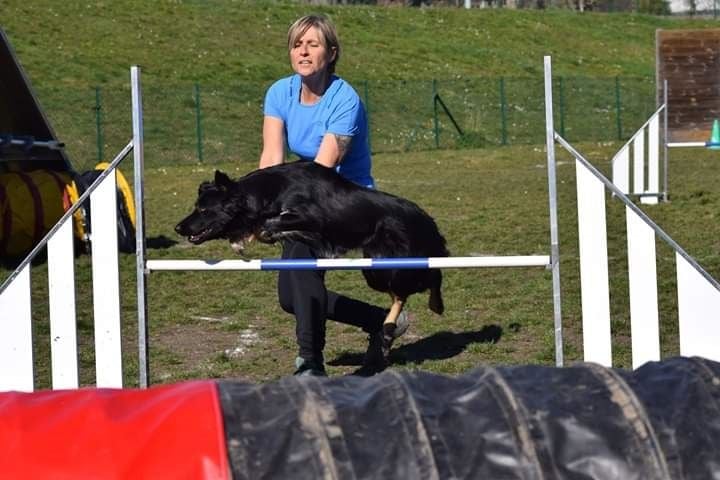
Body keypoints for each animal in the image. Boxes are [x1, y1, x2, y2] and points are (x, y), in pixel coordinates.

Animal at [177, 163, 448, 340]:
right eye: (196, 207)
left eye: (203, 210)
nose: (177, 227)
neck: (268, 191)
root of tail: (428, 221)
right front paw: (245, 238)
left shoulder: (312, 216)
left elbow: (269, 223)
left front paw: (252, 235)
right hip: (376, 269)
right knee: (401, 293)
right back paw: (390, 325)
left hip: (396, 266)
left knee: (430, 277)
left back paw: (435, 305)